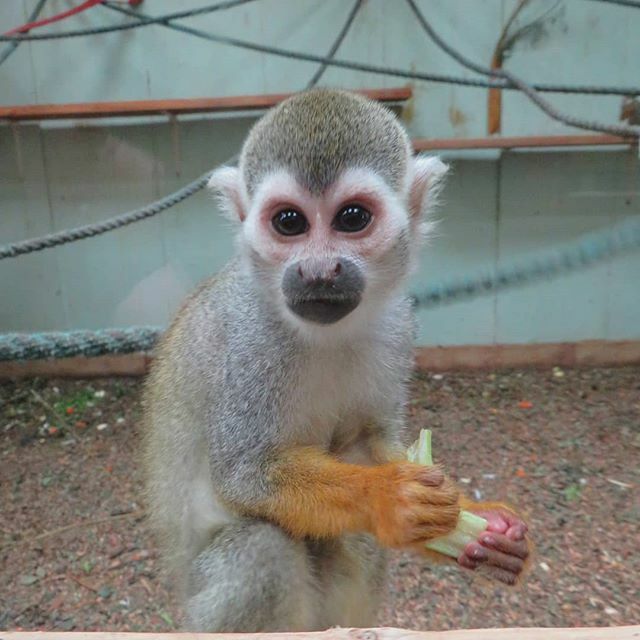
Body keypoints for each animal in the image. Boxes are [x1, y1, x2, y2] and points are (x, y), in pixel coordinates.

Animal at [145, 87, 528, 632]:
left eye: (352, 218)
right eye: (289, 222)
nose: (319, 271)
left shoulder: (398, 324)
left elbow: (370, 440)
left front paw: (477, 523)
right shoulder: (246, 342)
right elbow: (244, 474)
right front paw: (388, 499)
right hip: (199, 603)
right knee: (261, 547)